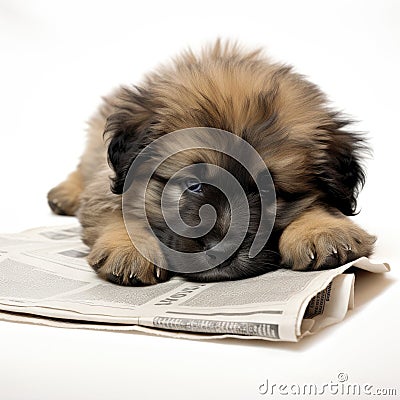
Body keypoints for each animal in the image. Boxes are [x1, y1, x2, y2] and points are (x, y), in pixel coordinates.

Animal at [47, 41, 376, 284]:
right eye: (193, 184)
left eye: (269, 192)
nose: (222, 250)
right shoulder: (108, 184)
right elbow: (117, 208)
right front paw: (130, 249)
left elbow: (320, 206)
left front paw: (323, 231)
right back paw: (64, 194)